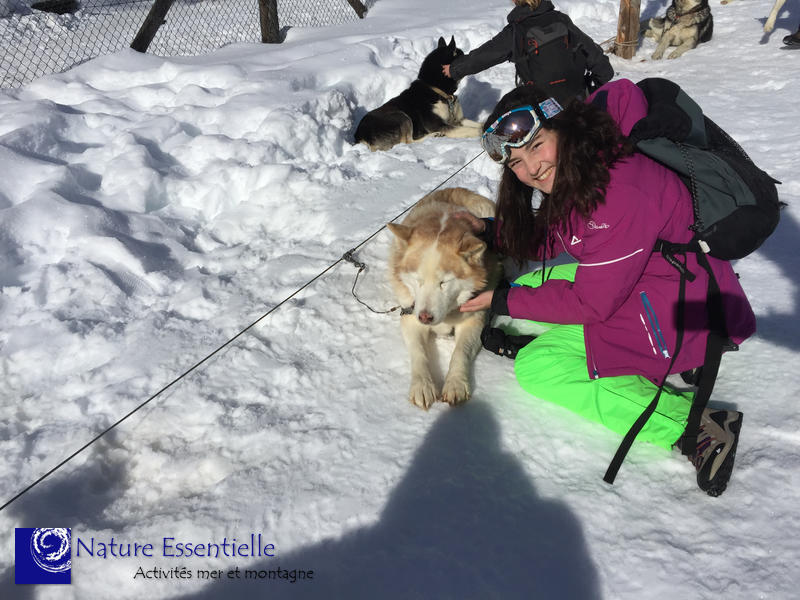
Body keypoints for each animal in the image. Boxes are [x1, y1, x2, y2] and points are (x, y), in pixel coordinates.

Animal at [387, 187, 501, 409]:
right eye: (418, 280)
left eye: (444, 282)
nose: (425, 317)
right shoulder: (409, 316)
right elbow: (418, 353)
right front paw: (422, 385)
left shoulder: (475, 320)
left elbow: (460, 352)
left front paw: (456, 383)